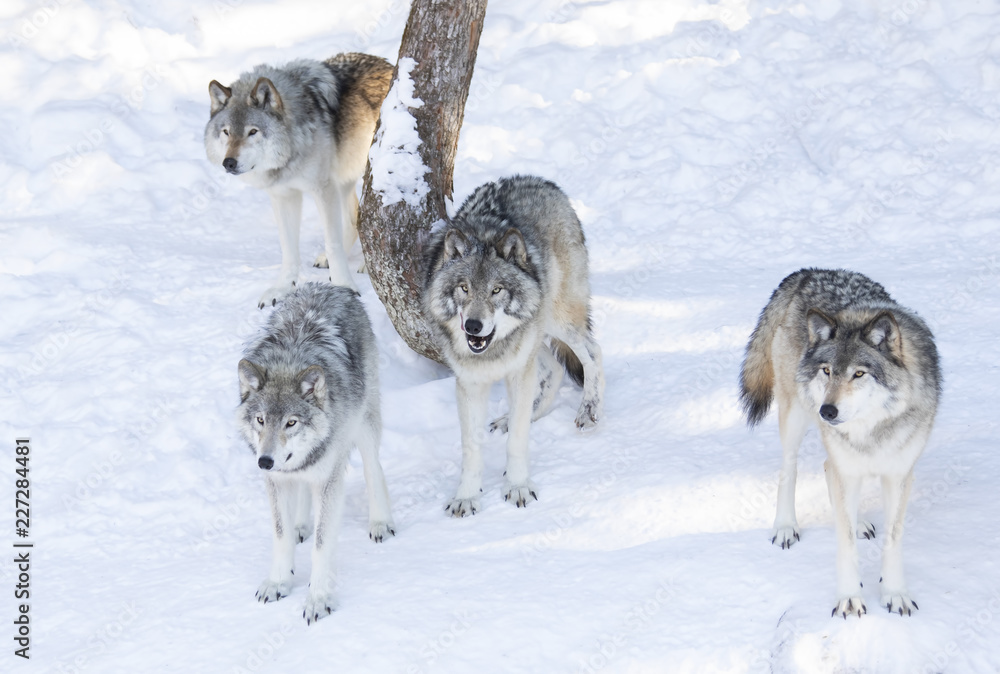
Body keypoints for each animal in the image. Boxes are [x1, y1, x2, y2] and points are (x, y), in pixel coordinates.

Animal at [205, 53, 393, 308]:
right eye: (226, 132)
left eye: (252, 132)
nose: (229, 163)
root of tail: (390, 65)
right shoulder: (284, 196)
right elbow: (289, 249)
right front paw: (282, 288)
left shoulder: (322, 188)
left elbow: (332, 243)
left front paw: (344, 285)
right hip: (343, 179)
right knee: (355, 215)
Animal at [236, 283, 394, 624]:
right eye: (260, 420)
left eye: (291, 422)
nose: (264, 461)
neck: (290, 360)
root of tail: (329, 286)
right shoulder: (277, 482)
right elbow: (281, 536)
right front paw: (279, 582)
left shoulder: (328, 482)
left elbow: (322, 545)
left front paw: (318, 599)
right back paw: (301, 526)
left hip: (363, 424)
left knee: (374, 468)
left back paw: (380, 522)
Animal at [423, 175, 605, 517]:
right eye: (464, 288)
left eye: (496, 290)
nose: (473, 326)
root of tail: (540, 180)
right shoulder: (470, 384)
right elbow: (471, 447)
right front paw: (467, 496)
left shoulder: (519, 368)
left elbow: (519, 441)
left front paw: (518, 486)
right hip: (536, 333)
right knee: (555, 368)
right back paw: (514, 416)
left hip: (555, 318)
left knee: (592, 352)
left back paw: (588, 410)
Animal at [739, 268, 941, 618]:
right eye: (827, 371)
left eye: (859, 374)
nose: (827, 411)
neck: (871, 430)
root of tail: (809, 271)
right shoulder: (845, 463)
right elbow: (845, 544)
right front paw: (849, 599)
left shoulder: (898, 475)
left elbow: (893, 538)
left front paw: (895, 593)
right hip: (795, 416)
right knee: (789, 469)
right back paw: (785, 527)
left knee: (827, 469)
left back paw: (858, 521)